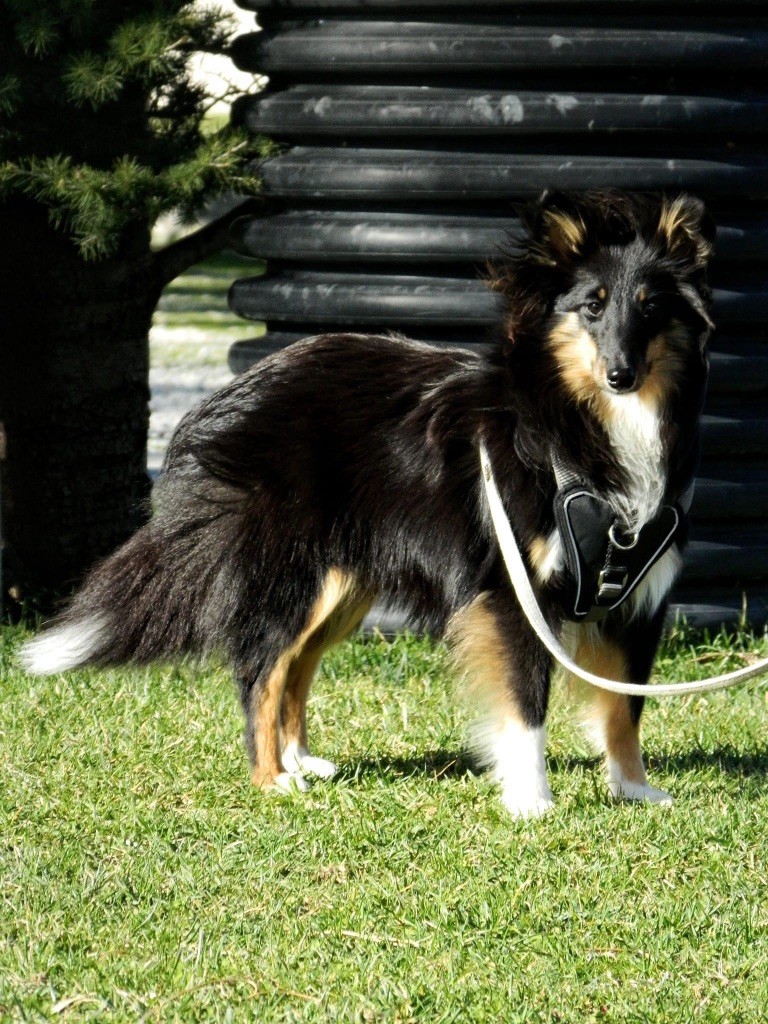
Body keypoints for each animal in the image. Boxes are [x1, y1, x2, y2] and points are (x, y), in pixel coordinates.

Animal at [19, 190, 716, 815]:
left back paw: (301, 761)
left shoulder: (638, 601)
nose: (621, 375)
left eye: (652, 309)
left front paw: (634, 789)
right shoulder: (516, 592)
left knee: (295, 667)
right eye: (592, 307)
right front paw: (531, 800)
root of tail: (231, 394)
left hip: (338, 584)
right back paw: (272, 779)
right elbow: (527, 706)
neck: (582, 425)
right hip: (288, 576)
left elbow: (625, 706)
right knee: (260, 672)